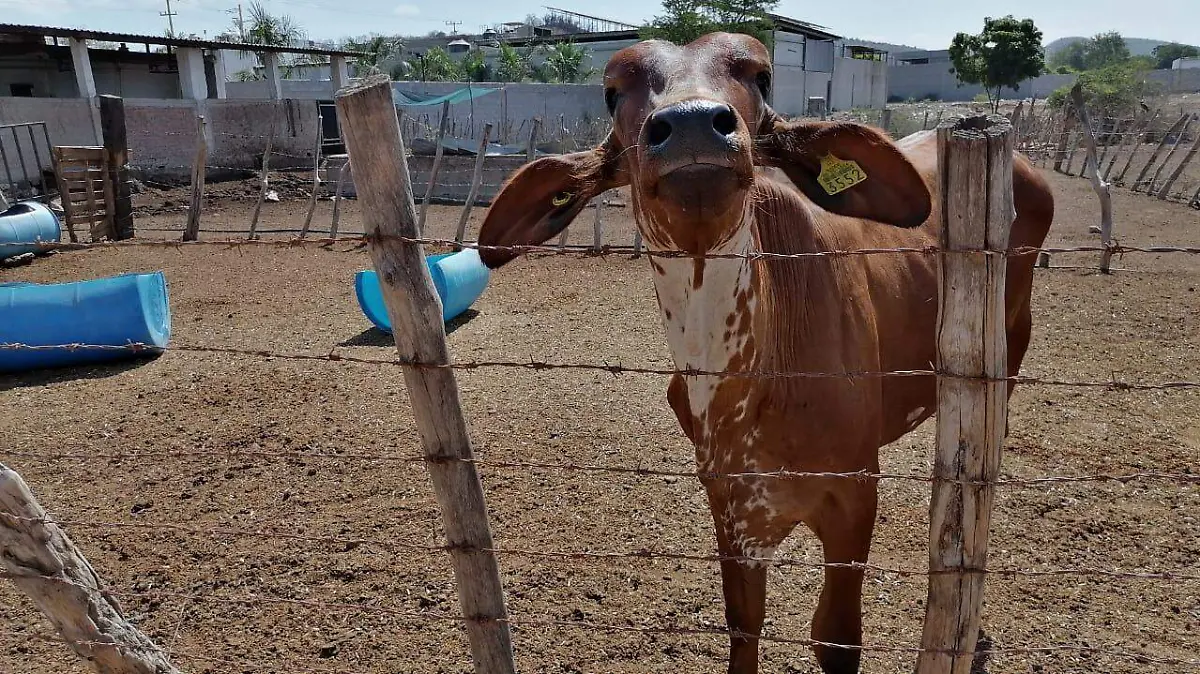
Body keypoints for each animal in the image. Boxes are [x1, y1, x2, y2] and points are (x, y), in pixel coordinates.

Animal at [475, 33, 1054, 674]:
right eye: (612, 91)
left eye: (760, 76)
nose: (692, 123)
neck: (741, 395)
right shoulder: (729, 504)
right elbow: (743, 624)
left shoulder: (854, 496)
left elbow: (834, 636)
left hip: (1009, 351)